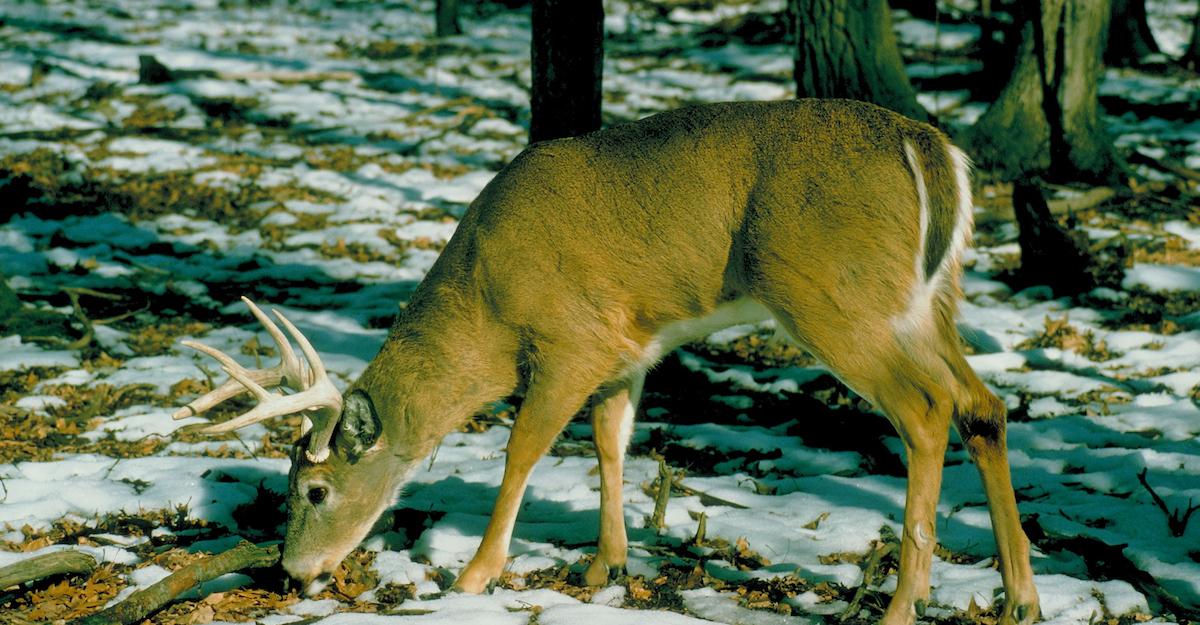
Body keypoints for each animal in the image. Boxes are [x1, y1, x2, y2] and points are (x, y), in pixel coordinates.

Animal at [175, 97, 1041, 623]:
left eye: (315, 488)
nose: (293, 571)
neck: (486, 305)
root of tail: (932, 150)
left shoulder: (571, 339)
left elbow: (522, 449)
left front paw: (476, 573)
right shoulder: (629, 347)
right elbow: (610, 443)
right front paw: (608, 567)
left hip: (832, 292)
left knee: (926, 411)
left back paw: (904, 601)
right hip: (928, 299)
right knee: (985, 407)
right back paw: (1021, 596)